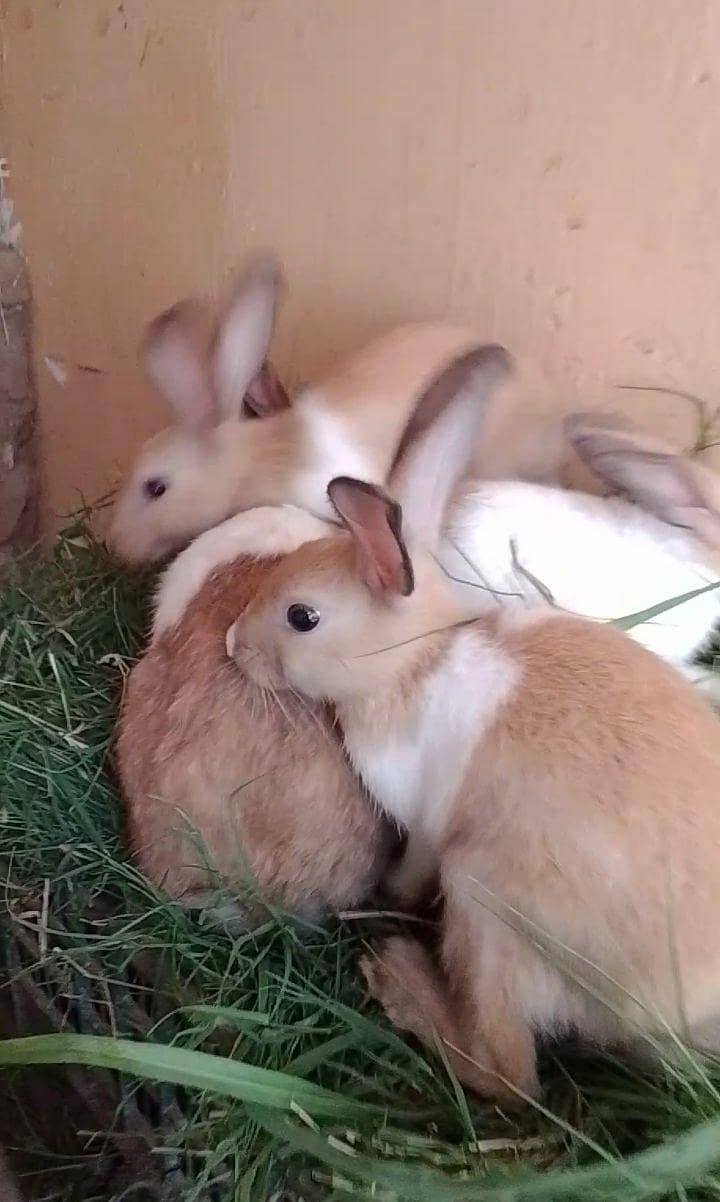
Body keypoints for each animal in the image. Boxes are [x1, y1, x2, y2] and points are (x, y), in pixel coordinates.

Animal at [227, 344, 720, 1101]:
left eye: (301, 617)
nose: (230, 644)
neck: (414, 665)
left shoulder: (428, 827)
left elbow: (408, 870)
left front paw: (386, 899)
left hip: (483, 900)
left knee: (508, 1074)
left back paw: (397, 977)